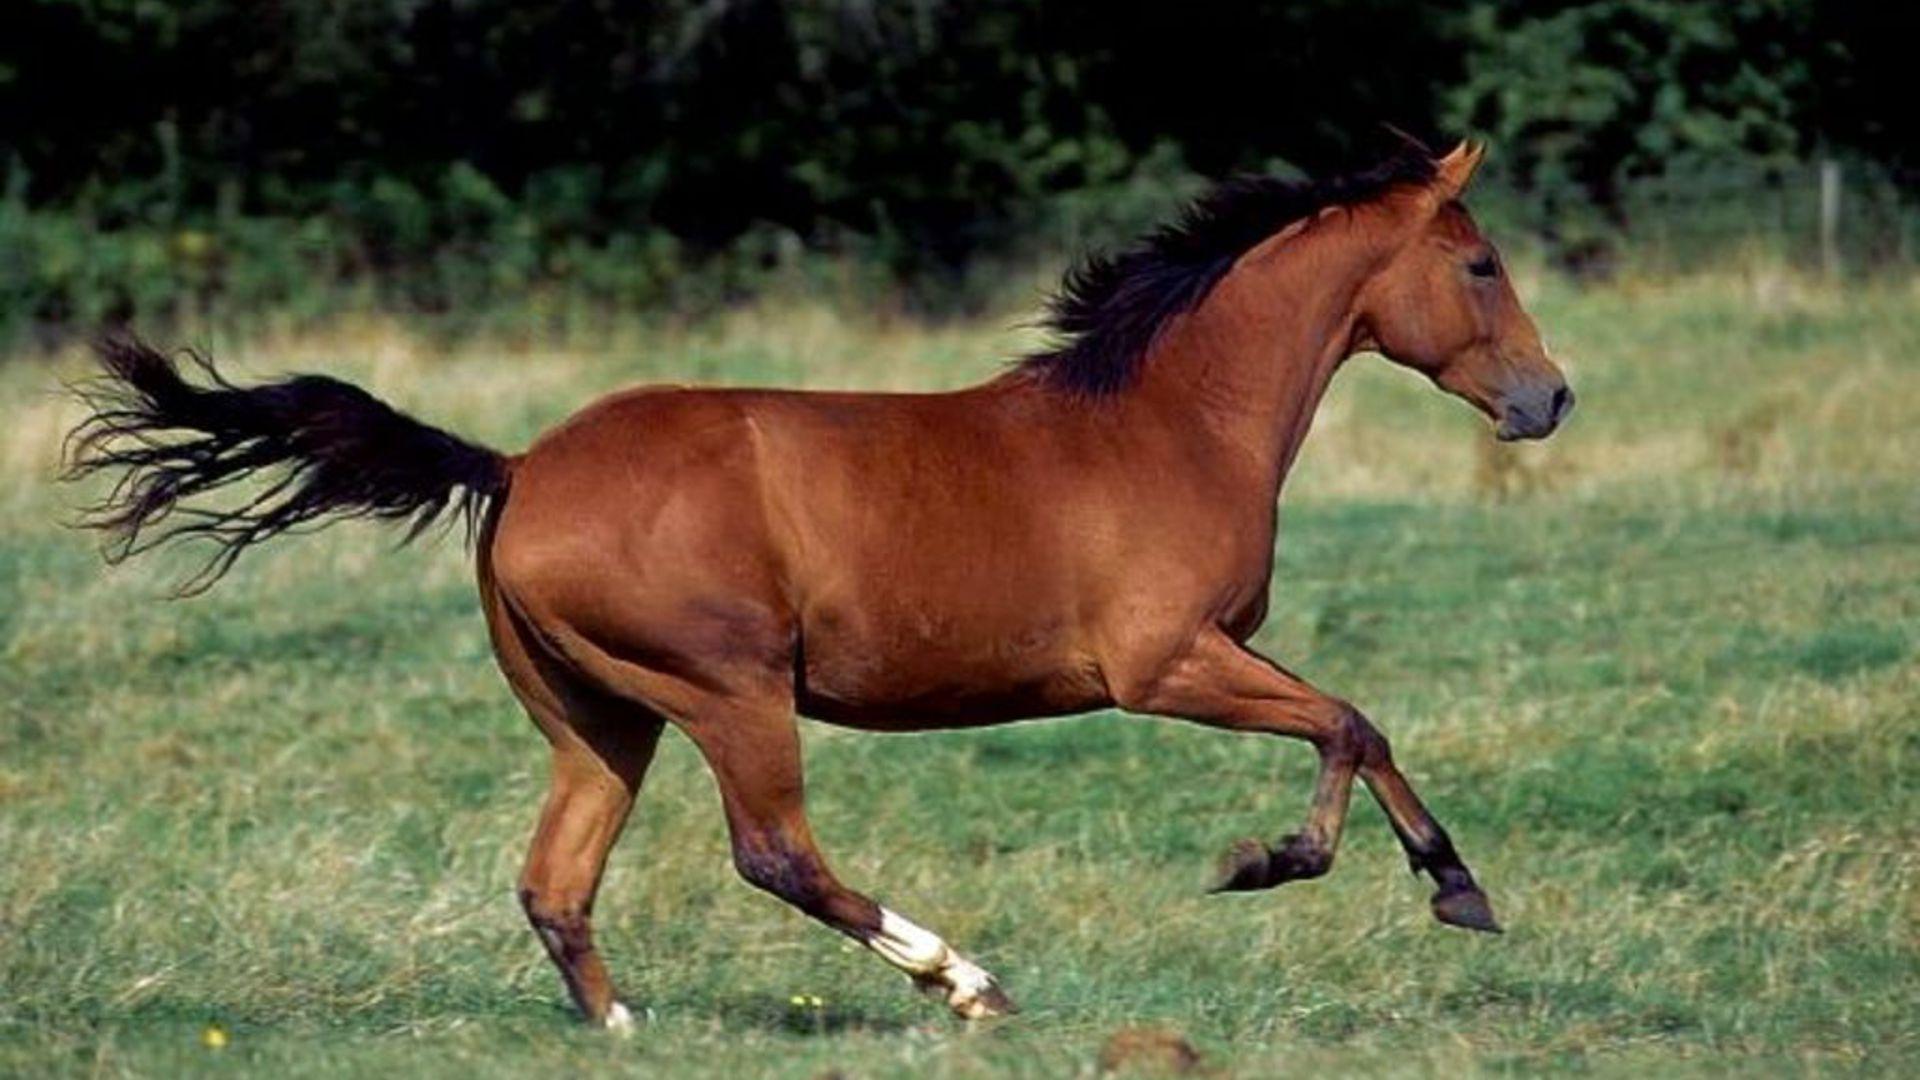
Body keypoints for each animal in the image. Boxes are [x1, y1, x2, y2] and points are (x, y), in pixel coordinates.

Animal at [65, 141, 1572, 1029]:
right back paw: (965, 981)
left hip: (599, 719)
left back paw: (626, 1033)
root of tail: (519, 470)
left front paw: (1438, 886)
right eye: (1481, 261)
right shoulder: (1162, 664)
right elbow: (1348, 722)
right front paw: (1308, 868)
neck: (1170, 417)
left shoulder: (1199, 660)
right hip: (728, 691)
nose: (1550, 398)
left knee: (557, 883)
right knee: (776, 854)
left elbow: (1356, 723)